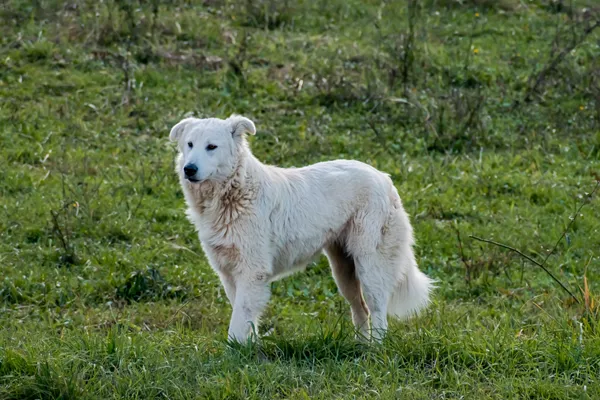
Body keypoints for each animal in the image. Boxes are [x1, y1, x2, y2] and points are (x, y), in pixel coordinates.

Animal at [169, 114, 432, 342]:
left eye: (211, 147)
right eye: (190, 144)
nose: (189, 169)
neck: (233, 192)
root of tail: (384, 178)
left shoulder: (252, 271)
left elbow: (239, 320)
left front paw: (234, 353)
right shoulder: (229, 272)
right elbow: (245, 318)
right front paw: (249, 350)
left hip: (370, 264)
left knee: (377, 310)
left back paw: (375, 350)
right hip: (343, 269)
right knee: (361, 310)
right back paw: (361, 348)